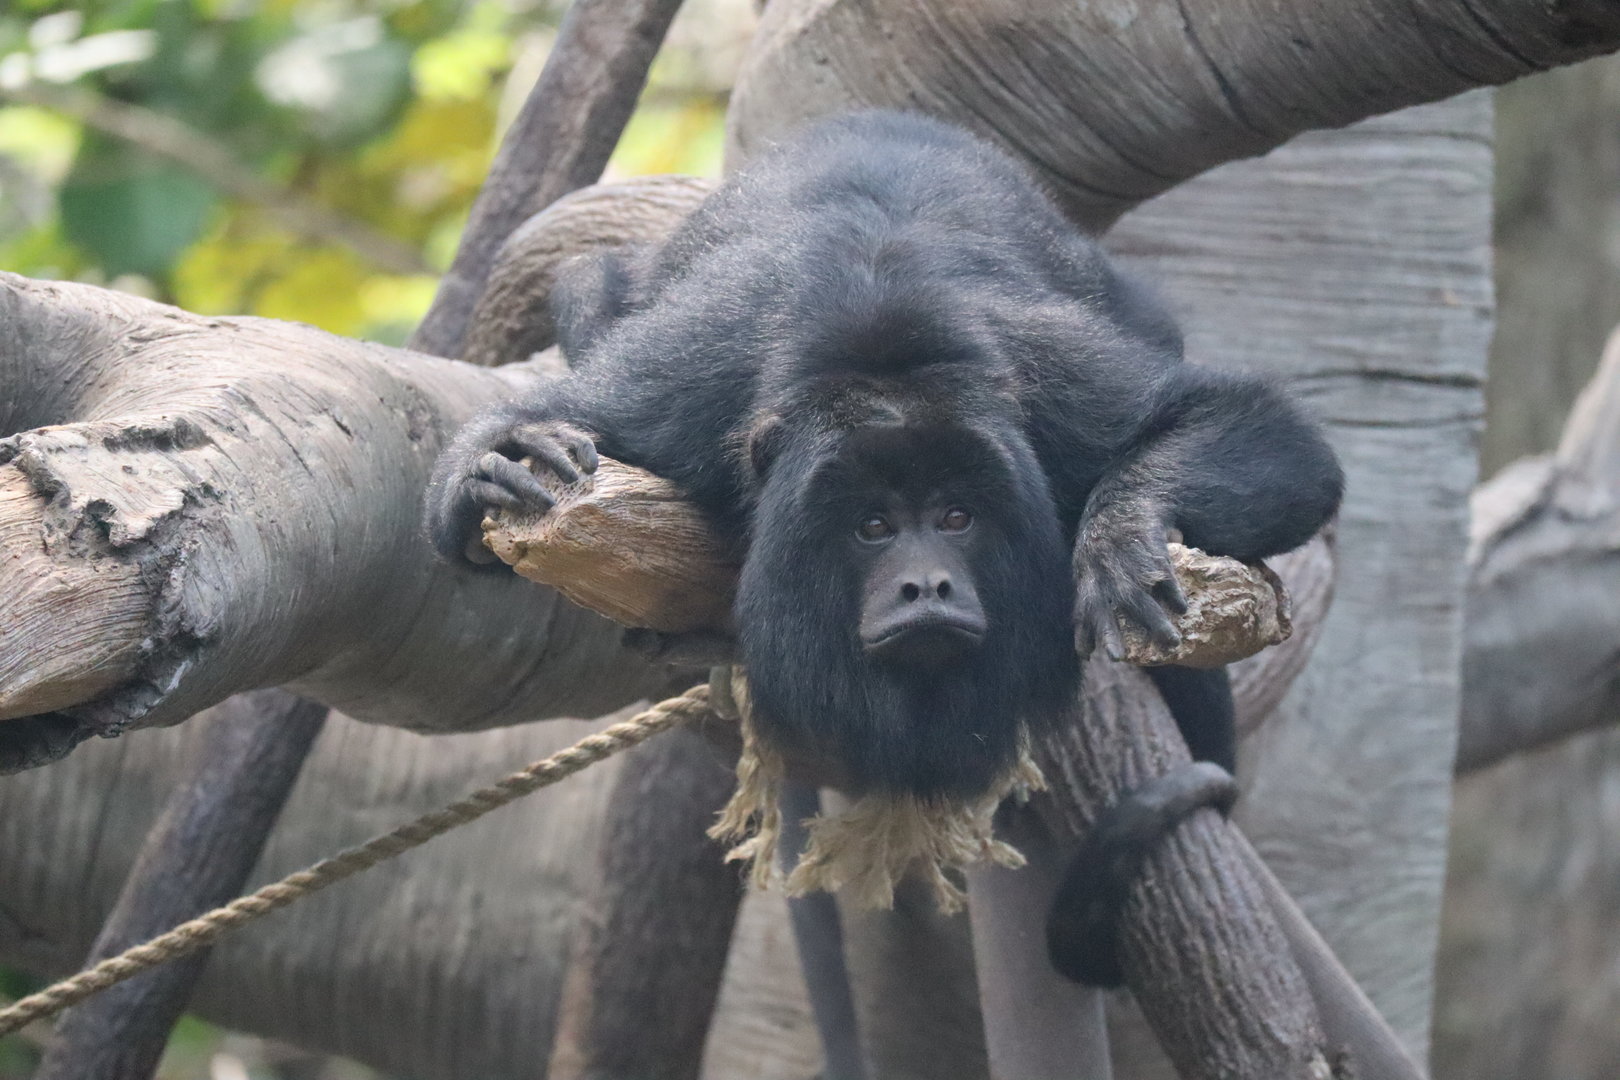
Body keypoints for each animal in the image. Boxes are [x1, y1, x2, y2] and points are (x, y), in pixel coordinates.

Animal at [424, 109, 1343, 988]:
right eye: (872, 527)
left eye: (957, 517)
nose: (926, 585)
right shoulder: (681, 393)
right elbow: (542, 431)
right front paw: (490, 466)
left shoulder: (1053, 383)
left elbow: (1271, 436)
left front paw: (1125, 528)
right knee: (591, 284)